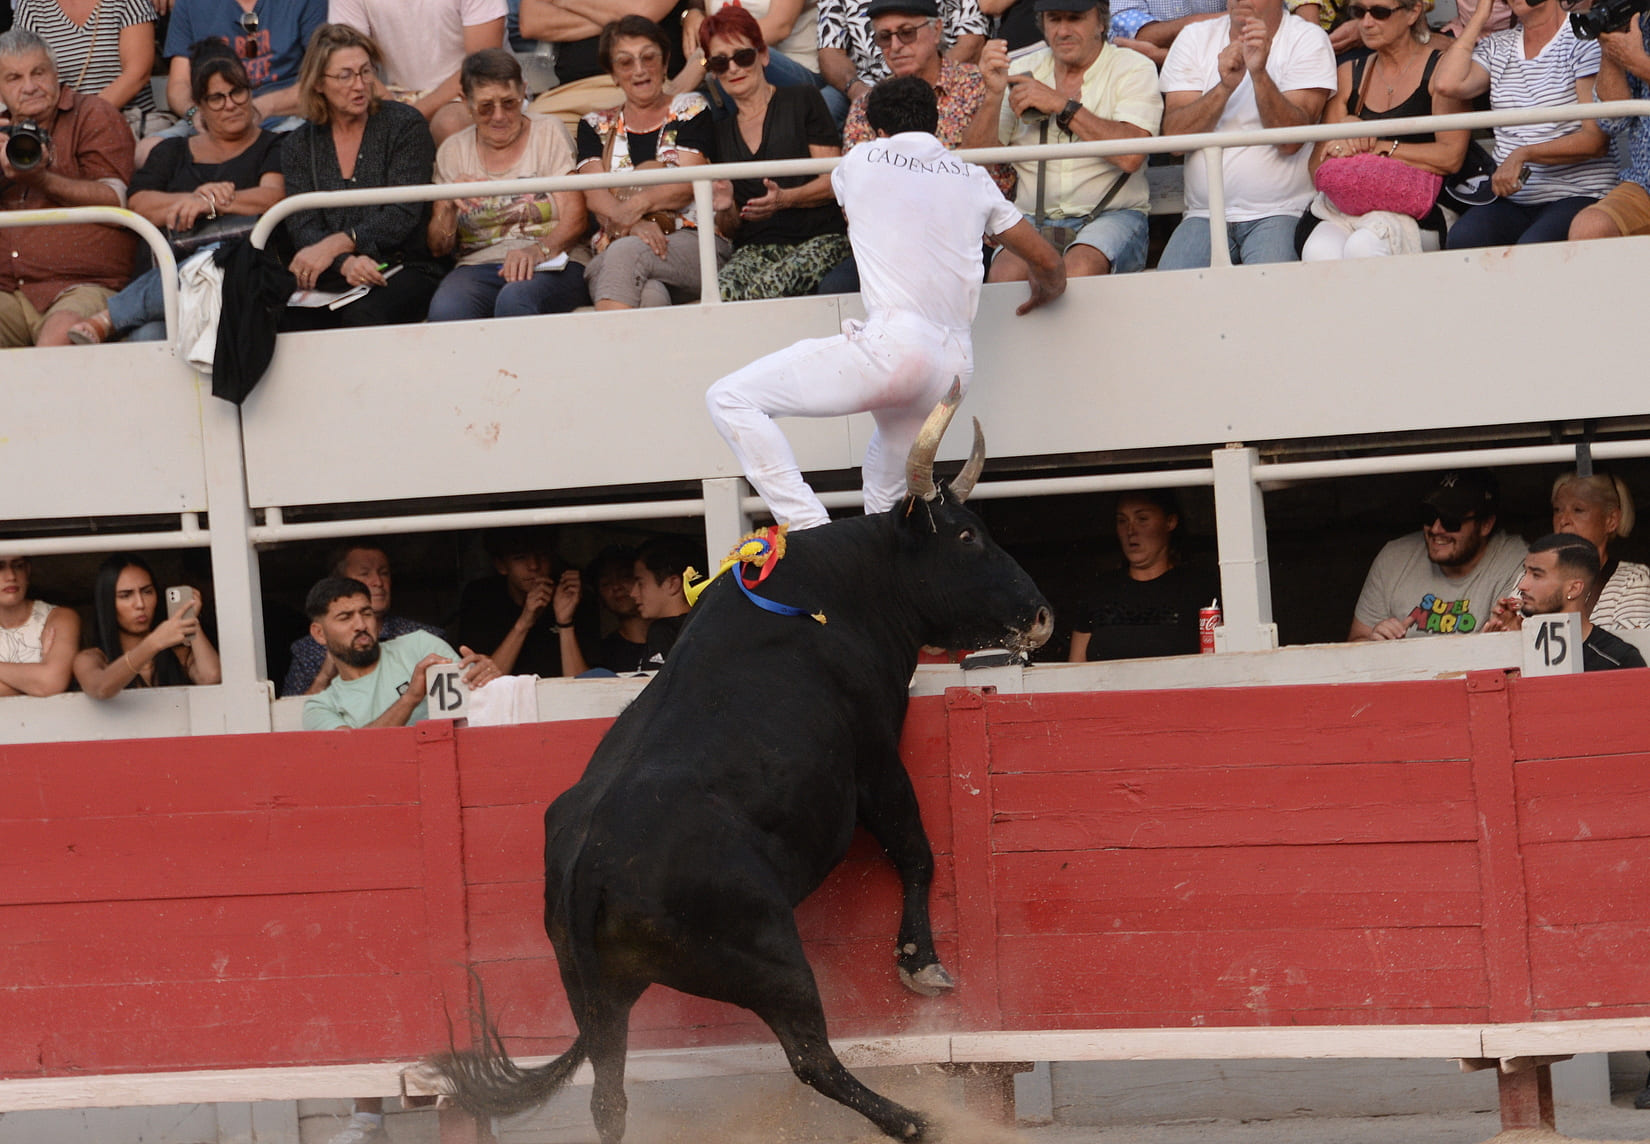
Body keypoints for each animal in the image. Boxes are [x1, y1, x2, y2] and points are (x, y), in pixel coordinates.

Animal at [432, 394, 1049, 1142]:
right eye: (965, 538)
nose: (1040, 616)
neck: (849, 587)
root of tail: (586, 873)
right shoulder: (876, 759)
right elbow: (917, 852)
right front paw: (922, 966)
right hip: (770, 958)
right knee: (812, 1058)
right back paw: (914, 1120)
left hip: (598, 997)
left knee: (609, 1096)